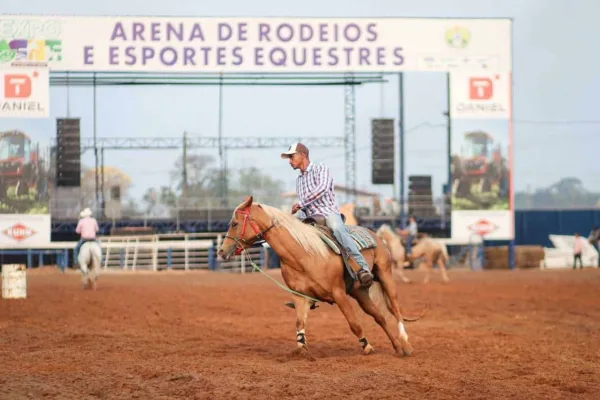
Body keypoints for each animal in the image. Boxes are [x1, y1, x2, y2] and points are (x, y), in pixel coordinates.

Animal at [218, 196, 424, 356]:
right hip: (359, 292)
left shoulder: (338, 293)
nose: (221, 251)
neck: (304, 254)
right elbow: (299, 323)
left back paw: (406, 343)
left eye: (234, 223)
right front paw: (301, 348)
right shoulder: (300, 296)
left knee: (396, 309)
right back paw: (398, 348)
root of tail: (374, 234)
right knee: (380, 316)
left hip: (385, 275)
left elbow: (354, 323)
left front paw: (367, 347)